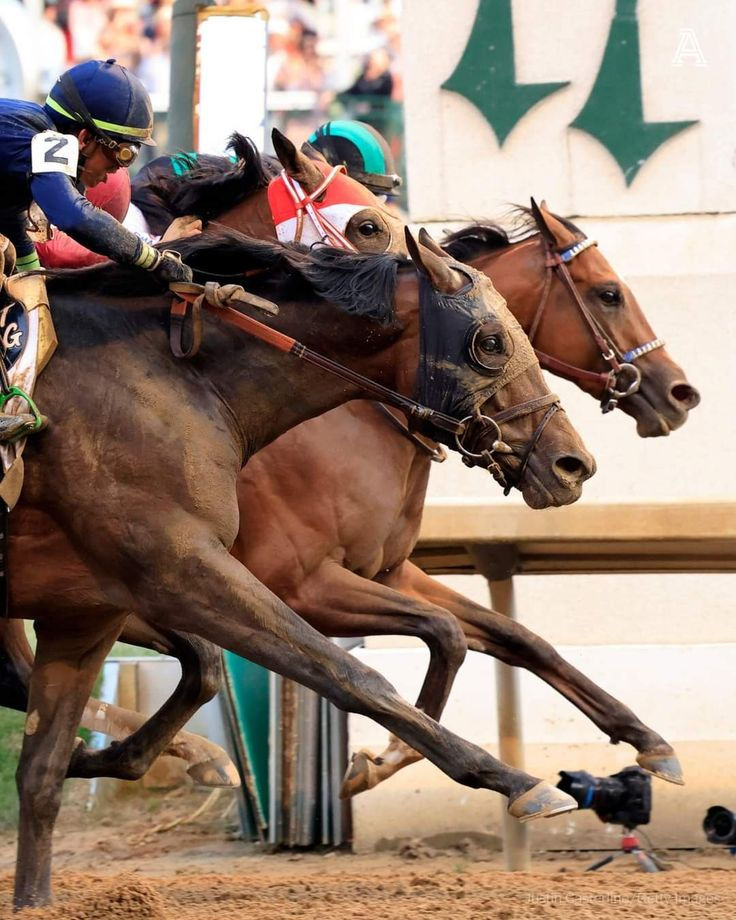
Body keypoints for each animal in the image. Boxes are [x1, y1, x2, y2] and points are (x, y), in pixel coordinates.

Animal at [6, 228, 593, 908]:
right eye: (491, 342)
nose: (573, 464)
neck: (180, 380)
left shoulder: (89, 607)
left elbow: (42, 770)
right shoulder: (198, 568)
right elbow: (353, 675)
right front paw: (517, 782)